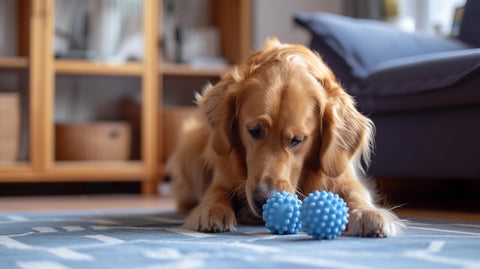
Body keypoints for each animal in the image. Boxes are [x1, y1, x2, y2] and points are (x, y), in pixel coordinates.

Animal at [166, 38, 404, 236]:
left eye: (297, 140)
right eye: (253, 130)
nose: (263, 199)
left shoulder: (341, 172)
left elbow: (357, 194)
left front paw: (368, 214)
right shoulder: (224, 172)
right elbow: (216, 192)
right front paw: (212, 210)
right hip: (191, 143)